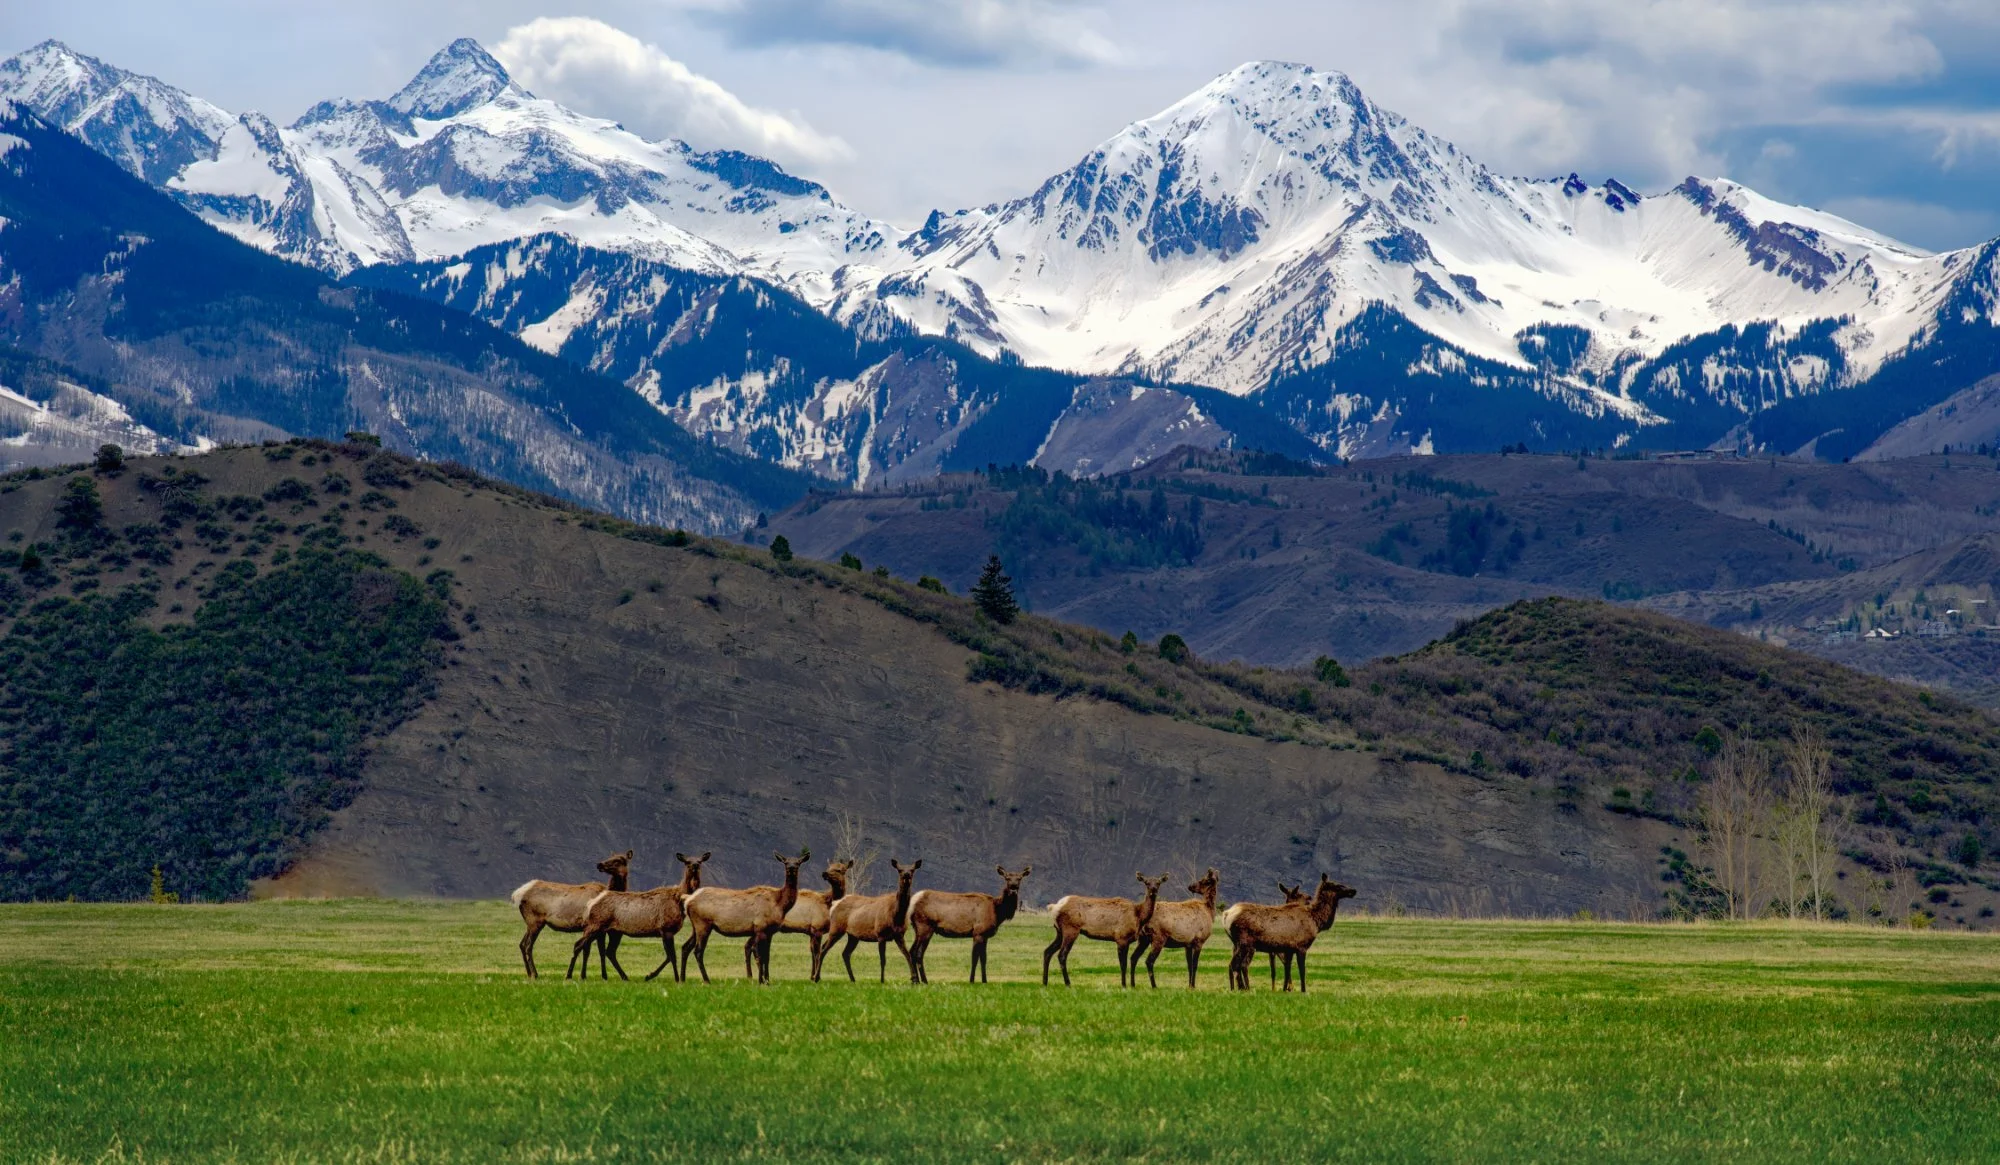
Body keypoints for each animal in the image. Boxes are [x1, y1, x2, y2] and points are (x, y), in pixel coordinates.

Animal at [510, 850, 630, 979]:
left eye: (619, 860)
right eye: (611, 858)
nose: (600, 864)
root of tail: (517, 894)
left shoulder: (598, 930)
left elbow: (598, 951)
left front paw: (598, 976)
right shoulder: (591, 927)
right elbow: (589, 951)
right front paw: (592, 976)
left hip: (530, 923)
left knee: (522, 944)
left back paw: (528, 973)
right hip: (535, 921)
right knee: (528, 946)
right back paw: (535, 974)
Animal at [565, 851, 709, 982]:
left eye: (700, 861)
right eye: (687, 862)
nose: (695, 865)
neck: (679, 901)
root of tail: (591, 903)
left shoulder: (664, 931)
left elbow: (669, 956)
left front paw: (652, 975)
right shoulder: (666, 928)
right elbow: (672, 956)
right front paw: (675, 979)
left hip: (613, 931)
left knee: (608, 951)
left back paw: (623, 977)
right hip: (596, 925)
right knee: (579, 945)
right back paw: (569, 976)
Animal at [680, 848, 810, 984]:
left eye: (798, 862)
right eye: (785, 862)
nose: (791, 868)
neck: (780, 905)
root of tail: (688, 899)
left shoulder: (770, 932)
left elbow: (767, 957)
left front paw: (767, 981)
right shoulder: (760, 928)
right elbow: (760, 956)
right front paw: (761, 981)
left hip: (696, 926)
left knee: (685, 947)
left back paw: (682, 979)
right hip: (703, 924)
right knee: (698, 951)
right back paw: (706, 980)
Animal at [1225, 874, 1356, 992]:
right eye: (1337, 885)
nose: (1353, 890)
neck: (1317, 921)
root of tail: (1226, 915)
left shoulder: (1288, 949)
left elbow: (1287, 969)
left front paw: (1285, 989)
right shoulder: (1301, 946)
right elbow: (1302, 970)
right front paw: (1303, 990)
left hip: (1237, 944)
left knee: (1236, 965)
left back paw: (1239, 988)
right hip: (1245, 943)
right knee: (1236, 965)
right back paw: (1238, 989)